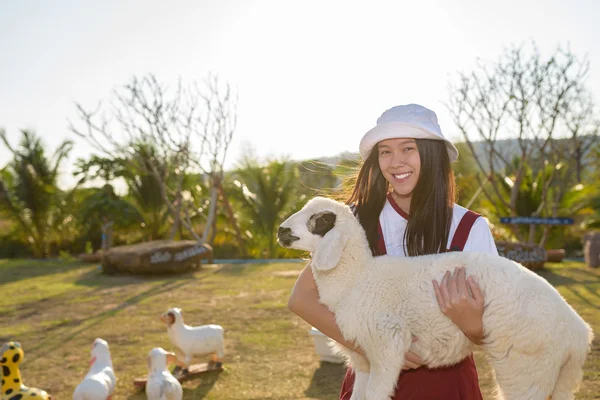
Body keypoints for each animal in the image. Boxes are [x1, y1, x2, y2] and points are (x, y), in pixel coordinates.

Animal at [278, 197, 592, 400]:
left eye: (320, 220)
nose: (281, 231)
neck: (358, 278)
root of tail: (579, 332)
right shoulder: (363, 358)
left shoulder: (388, 345)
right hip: (559, 377)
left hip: (527, 369)